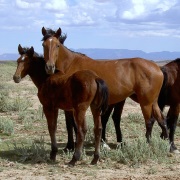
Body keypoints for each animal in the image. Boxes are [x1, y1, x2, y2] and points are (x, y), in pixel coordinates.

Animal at [40, 26, 169, 148]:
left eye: (57, 45)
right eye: (43, 45)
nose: (49, 67)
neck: (71, 64)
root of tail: (157, 68)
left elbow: (71, 124)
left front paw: (71, 146)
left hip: (145, 102)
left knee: (149, 121)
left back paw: (148, 143)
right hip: (153, 101)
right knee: (161, 119)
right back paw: (169, 145)